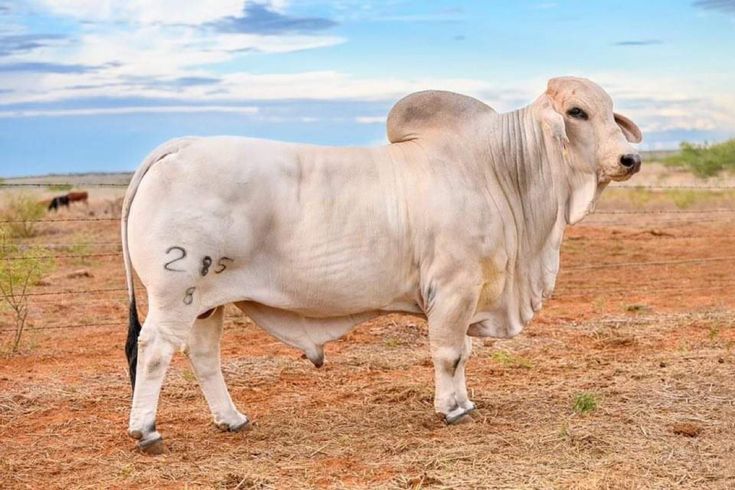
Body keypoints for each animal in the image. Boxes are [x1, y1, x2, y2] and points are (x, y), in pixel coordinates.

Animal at [123, 76, 640, 456]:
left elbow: (463, 353)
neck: (498, 170)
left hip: (207, 301)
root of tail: (180, 147)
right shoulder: (454, 287)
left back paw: (231, 419)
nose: (630, 158)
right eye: (577, 112)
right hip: (176, 294)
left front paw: (464, 400)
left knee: (203, 355)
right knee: (154, 350)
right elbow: (450, 352)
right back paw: (146, 430)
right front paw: (452, 409)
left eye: (610, 111)